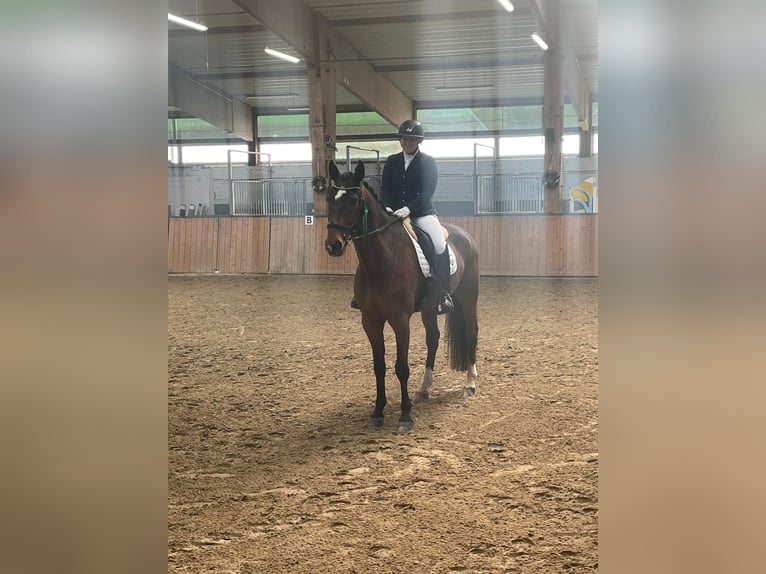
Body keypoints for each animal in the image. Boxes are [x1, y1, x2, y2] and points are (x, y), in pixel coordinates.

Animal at [323, 160, 480, 433]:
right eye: (330, 198)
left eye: (353, 200)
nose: (333, 245)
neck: (380, 261)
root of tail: (465, 235)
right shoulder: (370, 321)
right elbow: (379, 367)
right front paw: (377, 411)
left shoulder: (400, 320)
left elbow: (401, 367)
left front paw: (405, 416)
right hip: (429, 307)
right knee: (433, 339)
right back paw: (424, 389)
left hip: (468, 298)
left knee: (470, 332)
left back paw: (469, 383)